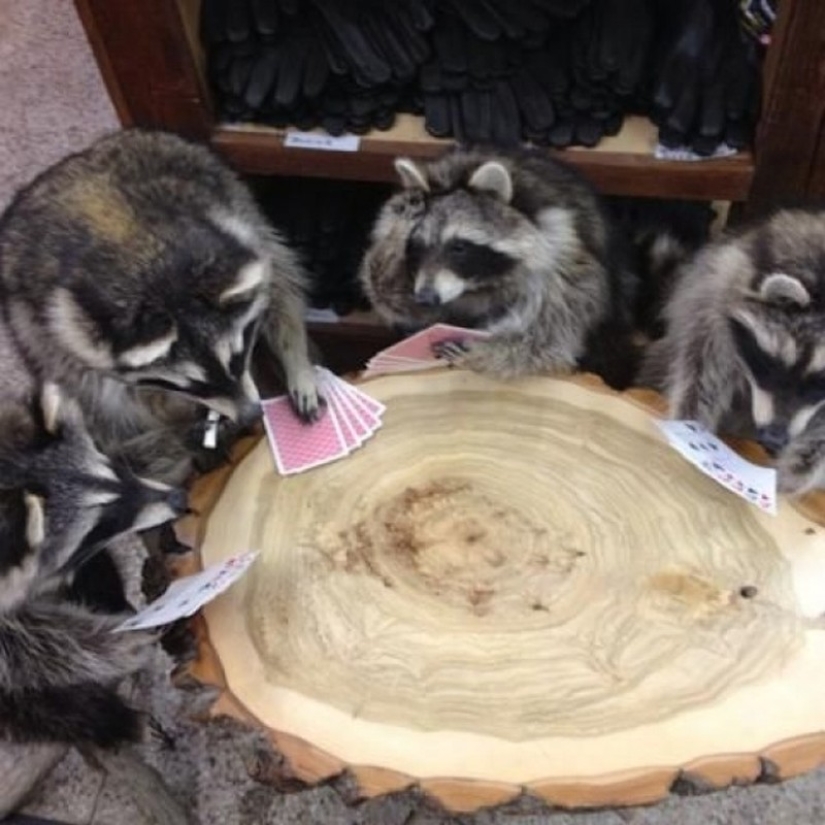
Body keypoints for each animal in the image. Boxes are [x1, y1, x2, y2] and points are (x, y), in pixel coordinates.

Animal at [0, 128, 322, 485]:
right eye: (194, 385)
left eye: (238, 359)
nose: (251, 414)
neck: (153, 271)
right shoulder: (68, 329)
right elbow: (122, 401)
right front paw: (187, 424)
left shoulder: (237, 223)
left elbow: (280, 280)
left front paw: (296, 359)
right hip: (27, 322)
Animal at [0, 384, 188, 821]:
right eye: (99, 524)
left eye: (111, 467)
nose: (177, 498)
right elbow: (24, 649)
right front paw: (110, 642)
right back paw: (95, 718)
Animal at [359, 147, 639, 386]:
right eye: (415, 246)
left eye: (458, 247)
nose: (426, 297)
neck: (479, 282)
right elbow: (395, 298)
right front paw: (401, 221)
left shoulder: (567, 254)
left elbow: (548, 335)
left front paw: (481, 351)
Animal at [640, 208, 825, 496]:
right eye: (770, 366)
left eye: (821, 382)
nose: (774, 438)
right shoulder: (717, 290)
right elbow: (702, 365)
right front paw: (690, 423)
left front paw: (800, 468)